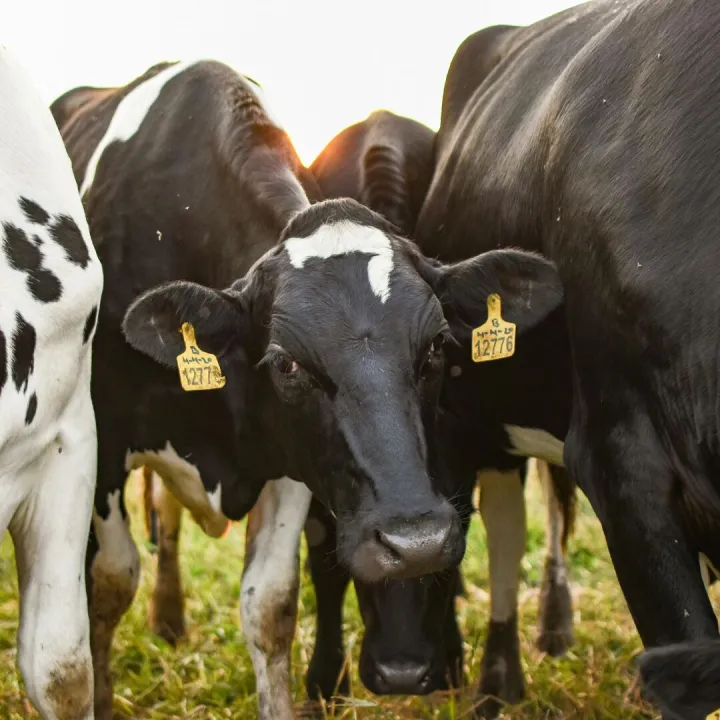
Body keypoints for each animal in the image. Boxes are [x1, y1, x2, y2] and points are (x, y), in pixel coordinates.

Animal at [50, 60, 492, 720]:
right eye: (285, 363)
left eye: (438, 345)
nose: (416, 542)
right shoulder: (100, 442)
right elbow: (108, 581)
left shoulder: (293, 459)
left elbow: (272, 604)